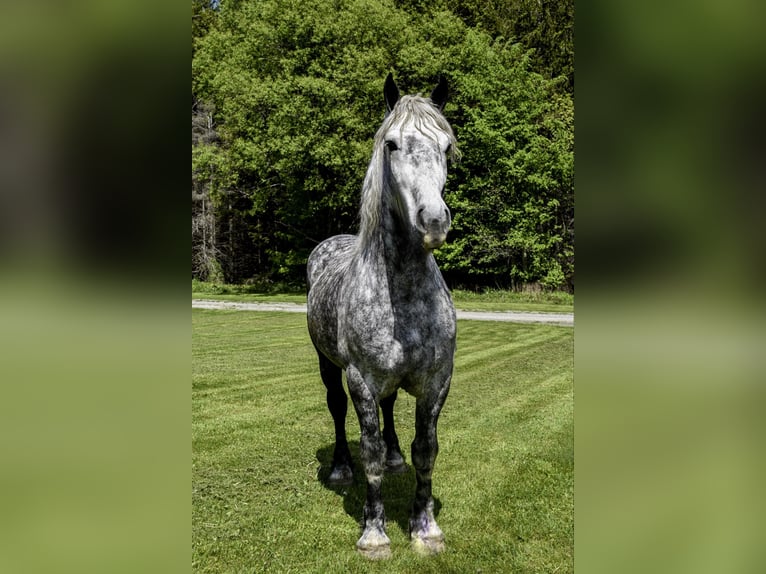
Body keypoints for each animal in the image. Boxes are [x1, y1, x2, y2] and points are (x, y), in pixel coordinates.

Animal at [306, 74, 460, 560]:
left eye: (446, 146)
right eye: (392, 144)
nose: (434, 220)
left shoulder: (437, 380)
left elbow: (426, 449)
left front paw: (425, 528)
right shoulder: (361, 380)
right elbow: (369, 450)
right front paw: (374, 533)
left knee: (392, 412)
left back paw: (396, 460)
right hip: (328, 366)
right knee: (337, 410)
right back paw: (341, 469)